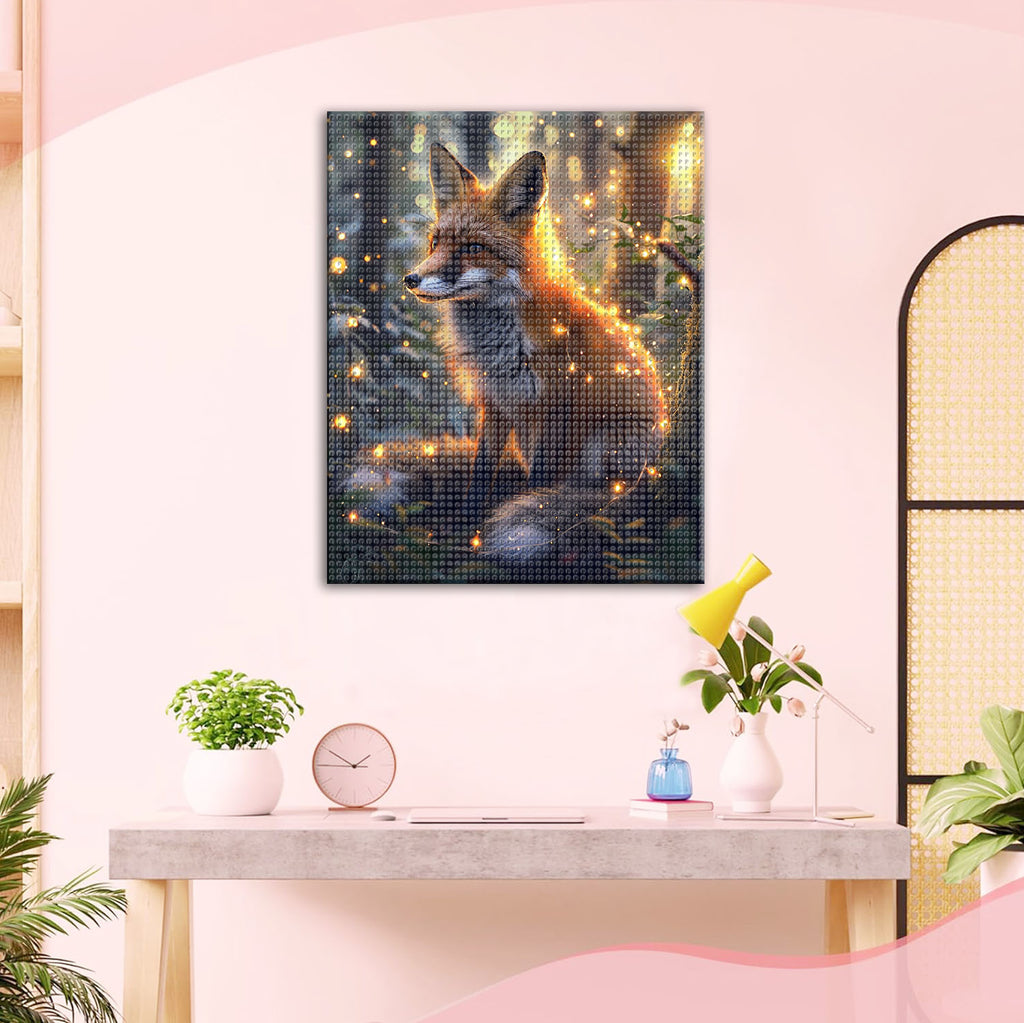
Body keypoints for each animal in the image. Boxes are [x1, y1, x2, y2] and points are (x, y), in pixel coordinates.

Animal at [400, 144, 668, 559]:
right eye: (435, 242)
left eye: (473, 247)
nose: (410, 279)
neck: (501, 344)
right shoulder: (495, 403)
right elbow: (480, 474)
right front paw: (464, 529)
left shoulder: (552, 407)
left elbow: (538, 482)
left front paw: (520, 517)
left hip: (609, 445)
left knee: (598, 500)